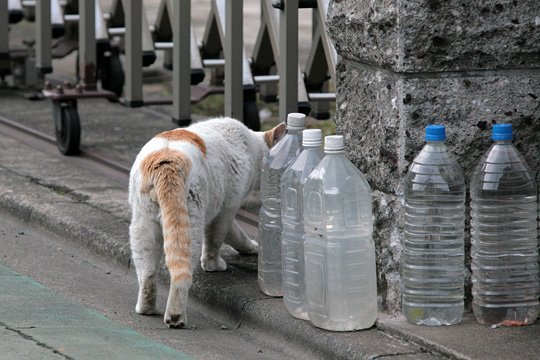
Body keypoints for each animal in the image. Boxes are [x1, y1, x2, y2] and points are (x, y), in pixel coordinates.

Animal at [129, 118, 286, 330]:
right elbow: (217, 239)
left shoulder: (219, 211)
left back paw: (146, 308)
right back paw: (176, 316)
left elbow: (235, 234)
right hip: (189, 226)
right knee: (181, 275)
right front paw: (213, 264)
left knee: (147, 273)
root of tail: (166, 161)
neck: (252, 148)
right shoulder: (226, 210)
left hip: (143, 226)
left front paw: (250, 248)